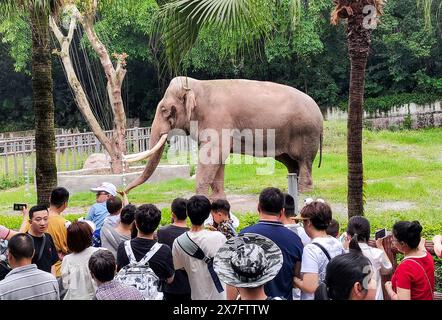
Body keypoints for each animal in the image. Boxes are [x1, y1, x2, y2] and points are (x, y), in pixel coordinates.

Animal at [122, 76, 322, 199]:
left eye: (164, 110)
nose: (124, 193)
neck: (198, 86)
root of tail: (319, 112)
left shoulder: (217, 120)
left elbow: (212, 154)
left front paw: (199, 198)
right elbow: (219, 158)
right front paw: (217, 198)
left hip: (306, 133)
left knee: (304, 161)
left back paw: (304, 192)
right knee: (291, 162)